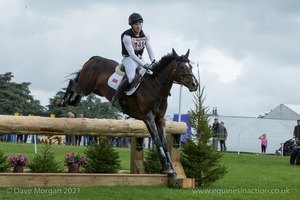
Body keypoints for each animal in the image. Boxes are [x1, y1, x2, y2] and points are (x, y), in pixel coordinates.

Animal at [56, 48, 199, 178]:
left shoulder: (160, 119)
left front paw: (172, 170)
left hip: (94, 89)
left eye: (191, 66)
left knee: (76, 88)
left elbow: (164, 143)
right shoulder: (148, 118)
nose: (195, 84)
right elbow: (157, 140)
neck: (155, 87)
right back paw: (62, 101)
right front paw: (166, 168)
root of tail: (94, 59)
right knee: (72, 83)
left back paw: (73, 101)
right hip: (86, 87)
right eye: (181, 67)